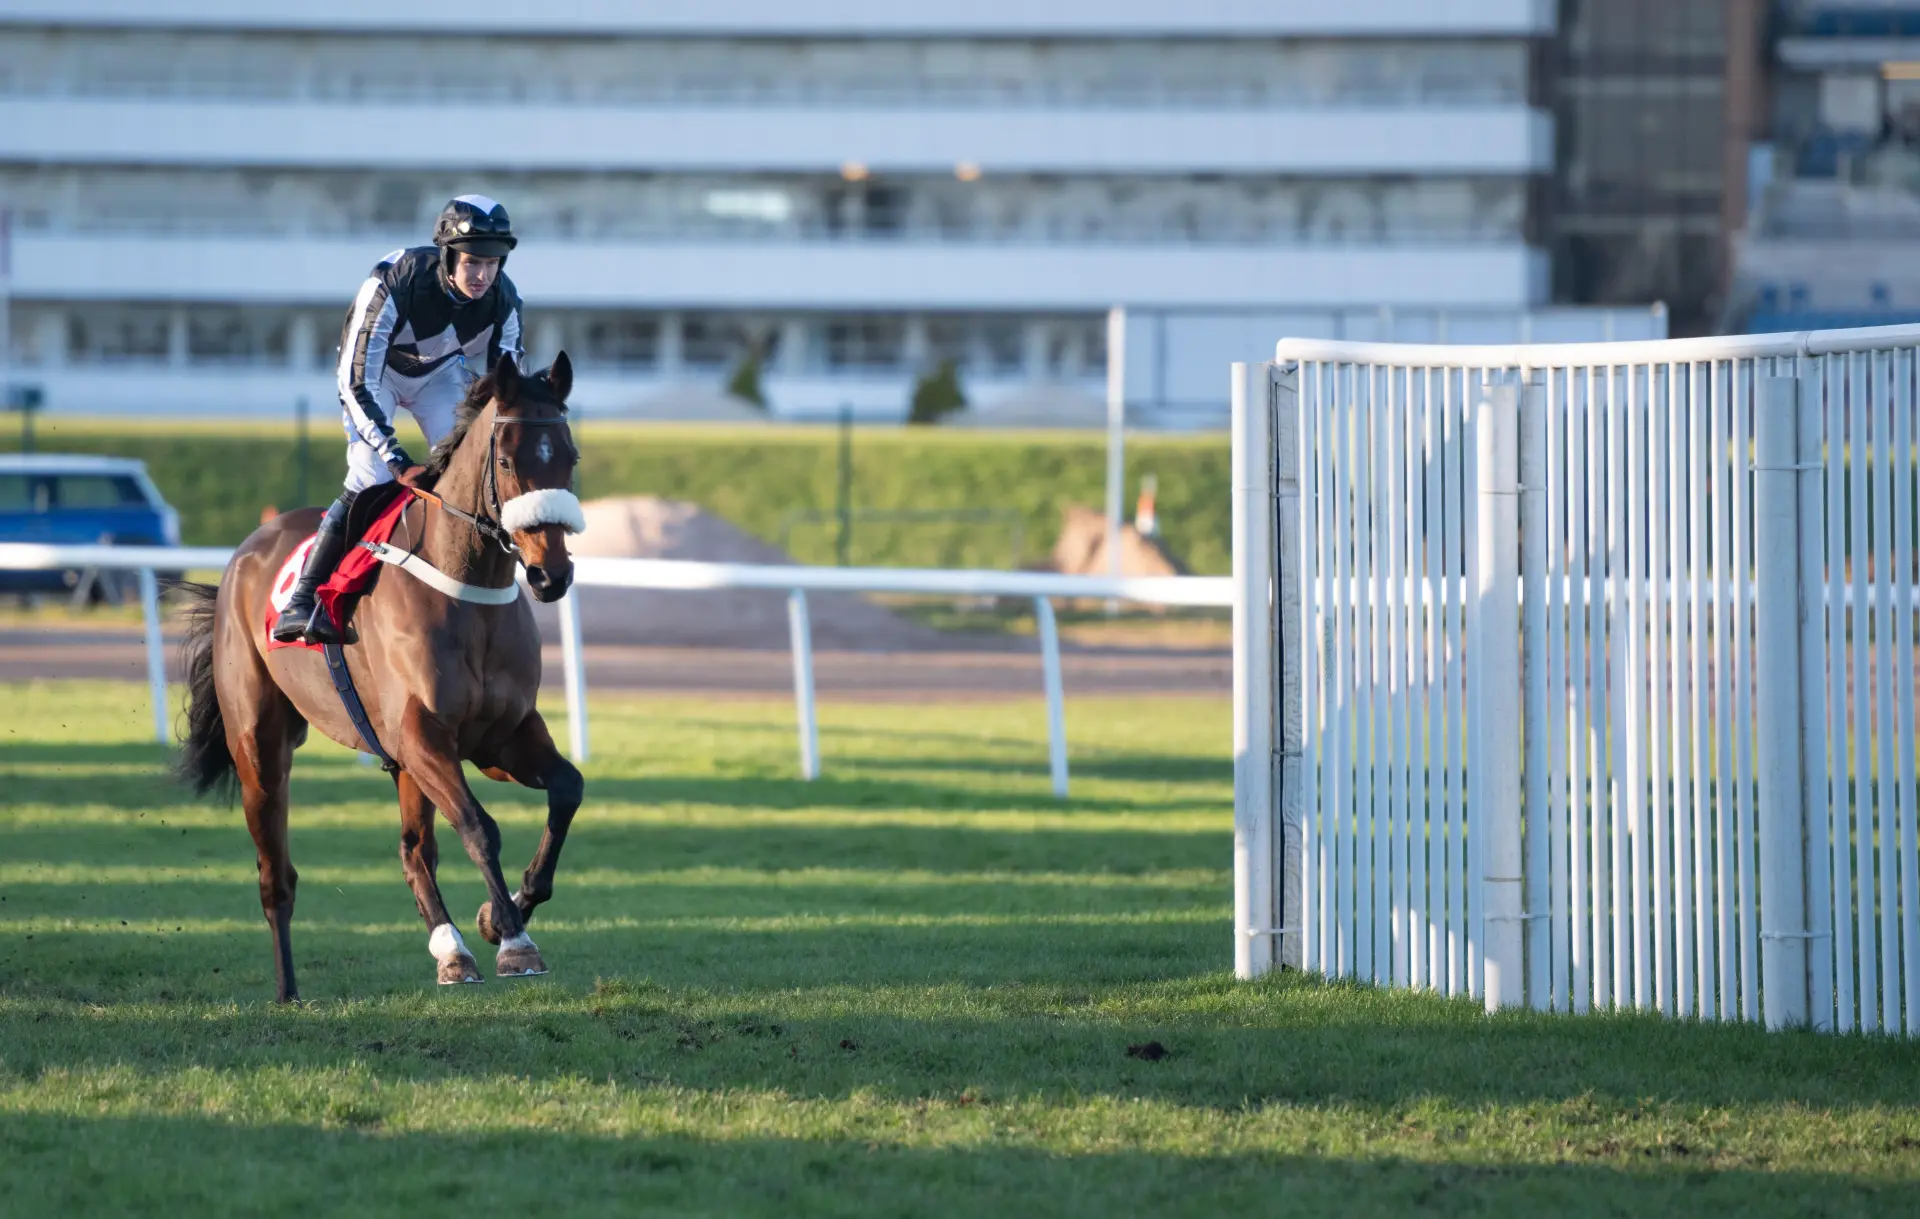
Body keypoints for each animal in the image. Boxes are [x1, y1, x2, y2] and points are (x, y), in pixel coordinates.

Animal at [175, 351, 587, 998]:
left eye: (568, 456)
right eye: (505, 460)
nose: (551, 576)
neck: (466, 590)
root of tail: (245, 552)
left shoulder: (499, 737)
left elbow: (567, 789)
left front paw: (499, 917)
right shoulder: (421, 735)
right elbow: (479, 826)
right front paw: (515, 939)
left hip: (403, 762)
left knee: (415, 850)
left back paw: (452, 951)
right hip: (260, 745)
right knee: (276, 873)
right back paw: (288, 990)